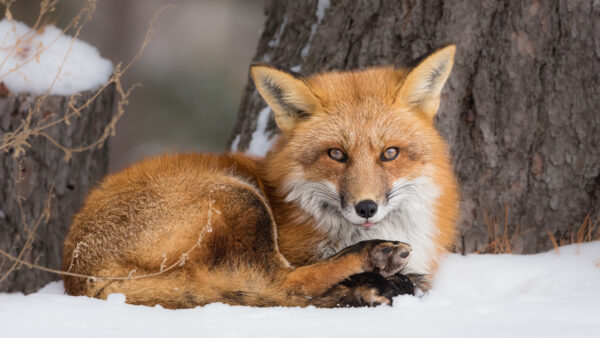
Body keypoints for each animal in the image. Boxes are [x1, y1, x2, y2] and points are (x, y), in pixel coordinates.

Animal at [62, 45, 460, 308]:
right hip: (240, 197)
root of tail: (76, 275)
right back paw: (369, 263)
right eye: (336, 154)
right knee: (280, 285)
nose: (366, 208)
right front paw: (371, 275)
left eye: (390, 153)